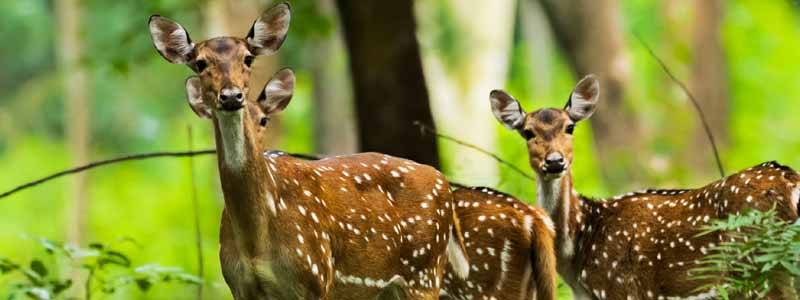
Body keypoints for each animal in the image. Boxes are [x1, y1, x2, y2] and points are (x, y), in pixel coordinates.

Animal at [150, 2, 468, 300]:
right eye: (200, 62)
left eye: (248, 58)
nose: (231, 96)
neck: (255, 243)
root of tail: (443, 182)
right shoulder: (239, 284)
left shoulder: (315, 275)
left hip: (424, 273)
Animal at [488, 75, 800, 300]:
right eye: (527, 132)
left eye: (570, 127)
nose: (555, 161)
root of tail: (790, 182)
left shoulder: (622, 289)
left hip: (760, 270)